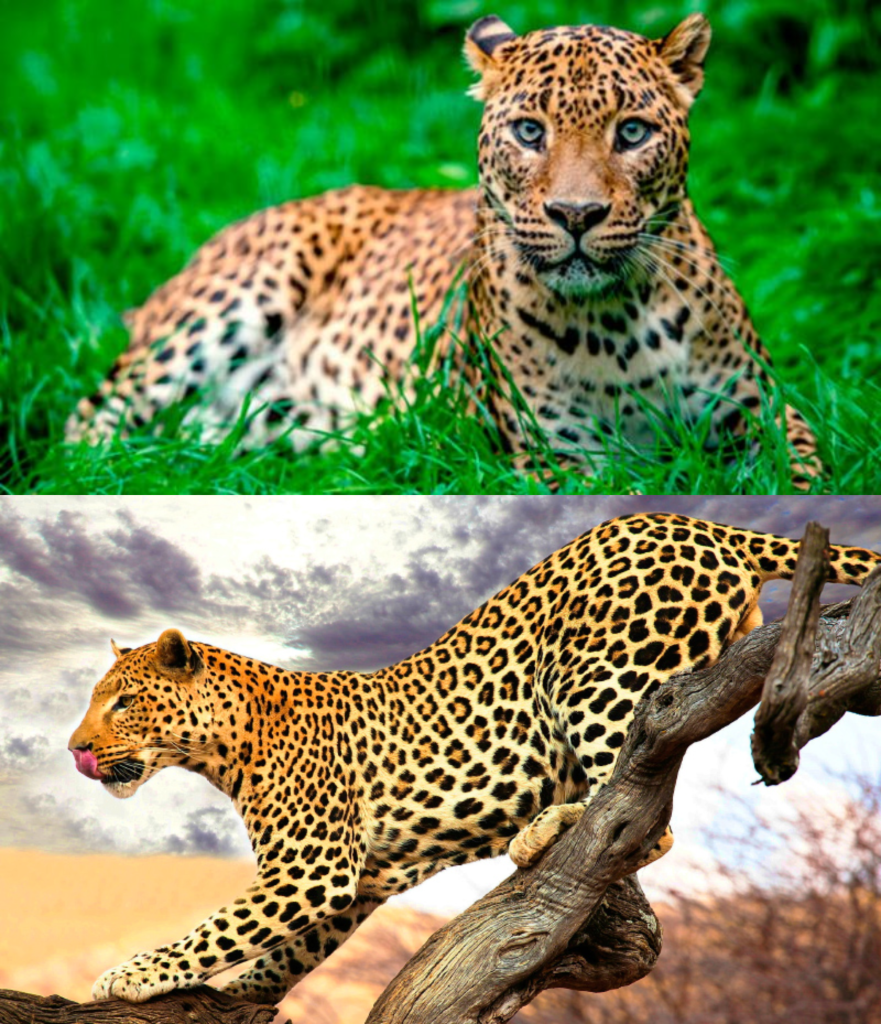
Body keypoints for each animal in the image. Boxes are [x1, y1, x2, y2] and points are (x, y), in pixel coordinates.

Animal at [65, 14, 820, 486]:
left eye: (631, 131)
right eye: (528, 131)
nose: (576, 215)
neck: (618, 324)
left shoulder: (769, 413)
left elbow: (799, 480)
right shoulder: (555, 455)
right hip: (225, 307)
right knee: (87, 423)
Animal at [69, 512, 878, 1005]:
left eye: (122, 702)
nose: (75, 749)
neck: (225, 744)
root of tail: (696, 523)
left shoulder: (311, 869)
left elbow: (217, 929)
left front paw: (129, 976)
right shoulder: (355, 883)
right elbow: (274, 955)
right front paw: (236, 997)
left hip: (598, 676)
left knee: (644, 811)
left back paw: (545, 830)